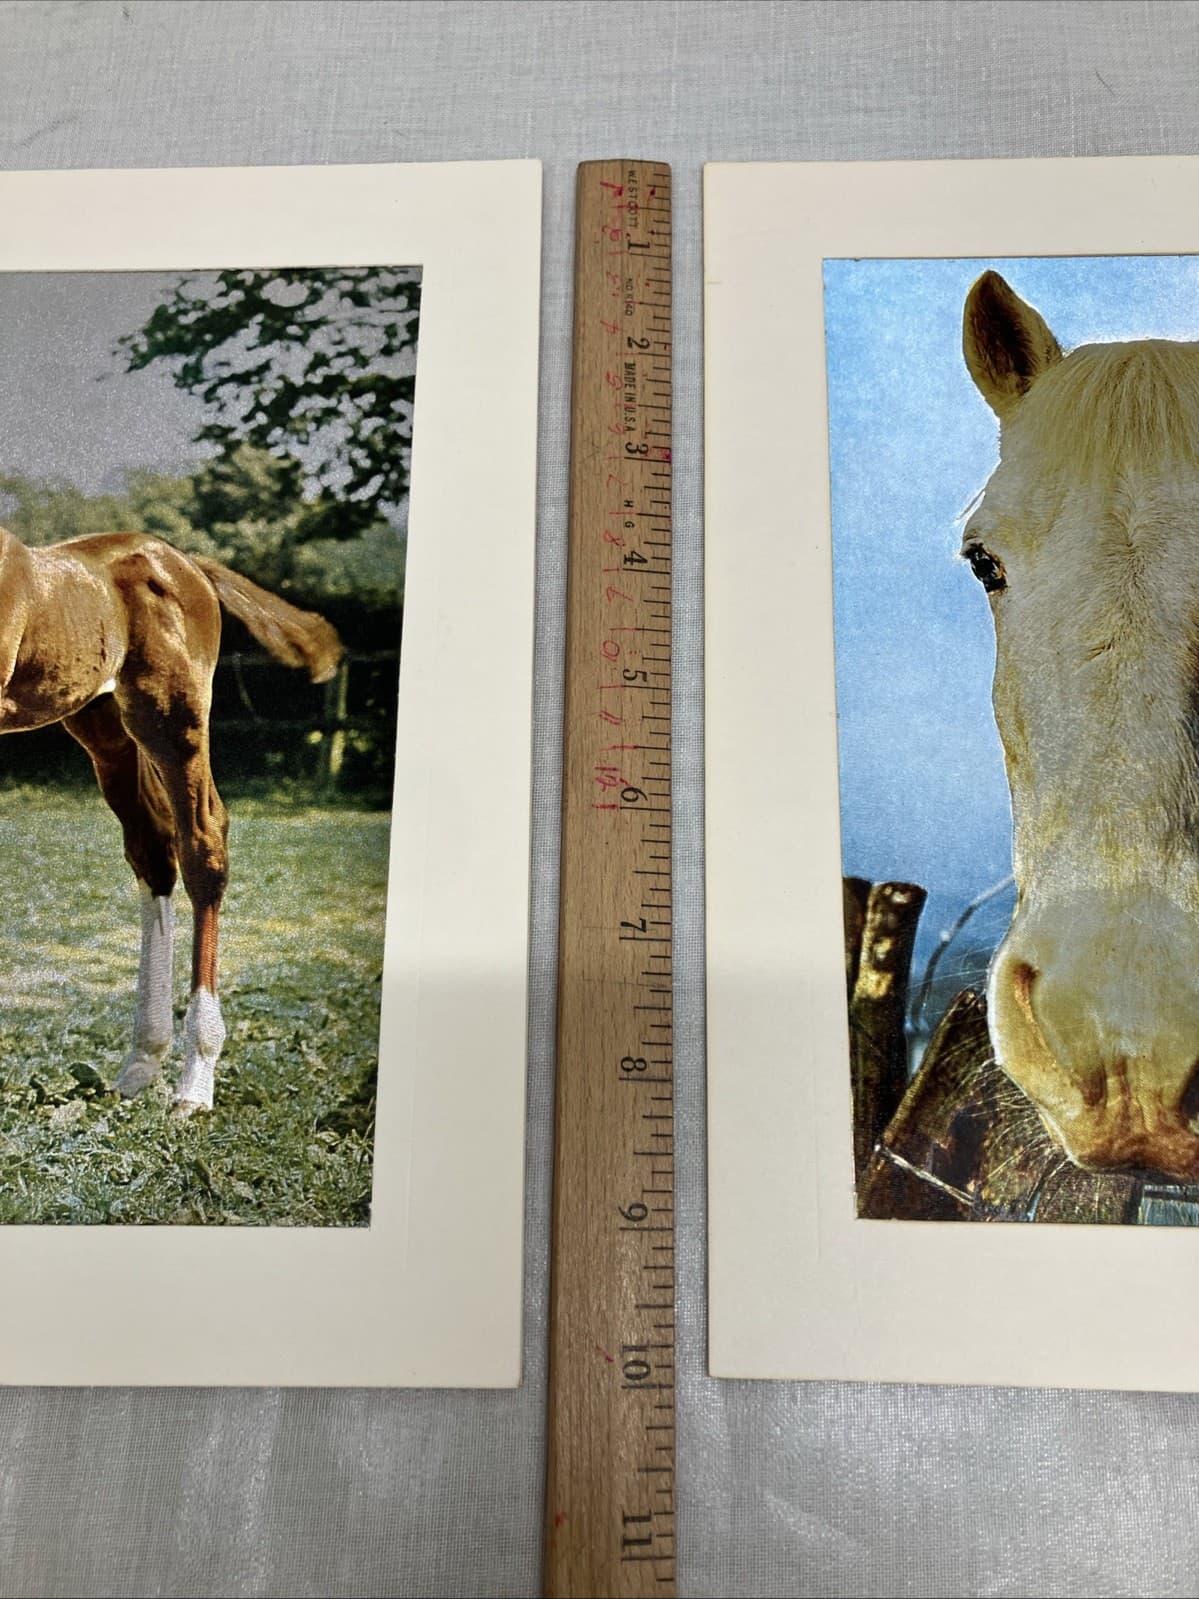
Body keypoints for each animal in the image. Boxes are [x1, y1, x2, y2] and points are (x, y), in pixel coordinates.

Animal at [0, 526, 341, 1114]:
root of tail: (189, 563)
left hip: (173, 716)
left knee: (202, 846)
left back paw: (195, 1081)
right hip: (105, 727)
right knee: (153, 852)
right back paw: (142, 1061)